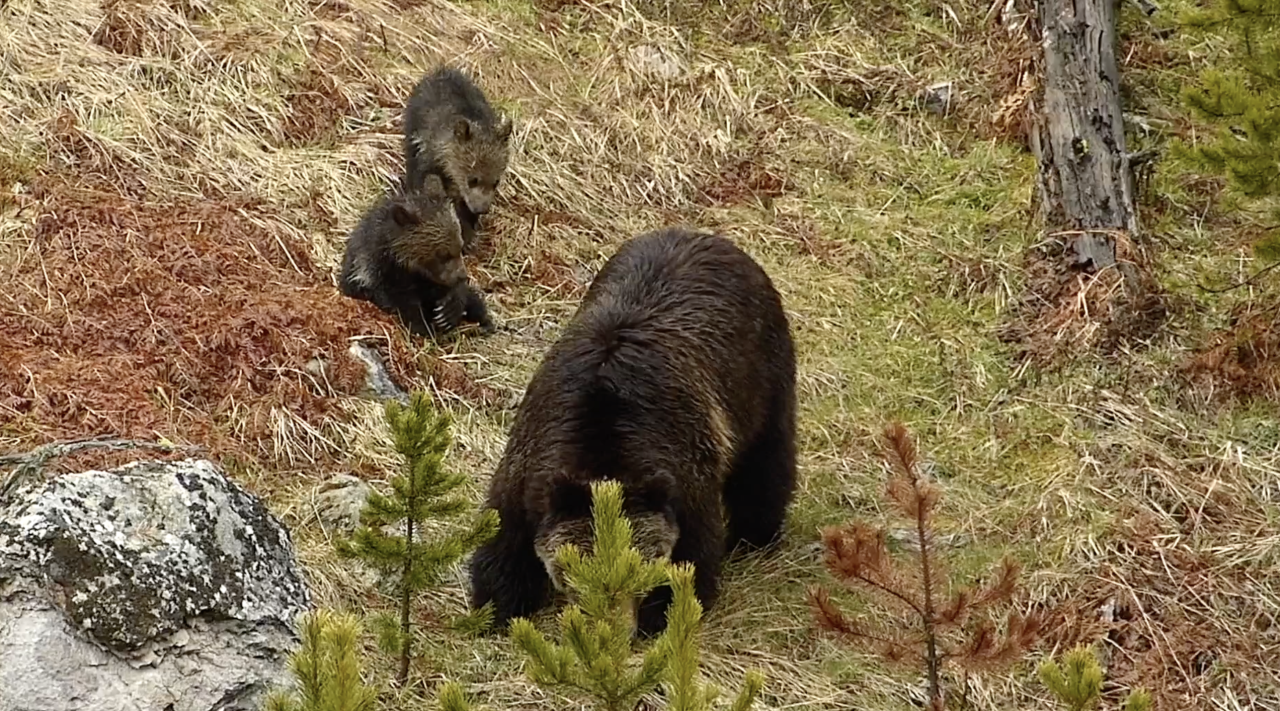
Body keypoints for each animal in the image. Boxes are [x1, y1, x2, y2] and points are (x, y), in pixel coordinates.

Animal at [338, 175, 496, 337]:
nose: (462, 276)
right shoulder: (380, 274)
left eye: (459, 245)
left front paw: (449, 311)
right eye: (442, 254)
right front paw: (425, 327)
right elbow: (402, 302)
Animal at [467, 226, 797, 637]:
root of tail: (701, 235)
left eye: (639, 568)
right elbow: (503, 540)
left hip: (760, 379)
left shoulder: (685, 472)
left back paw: (755, 535)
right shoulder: (531, 460)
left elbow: (692, 557)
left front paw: (662, 614)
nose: (610, 629)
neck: (603, 446)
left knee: (765, 463)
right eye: (580, 571)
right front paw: (497, 605)